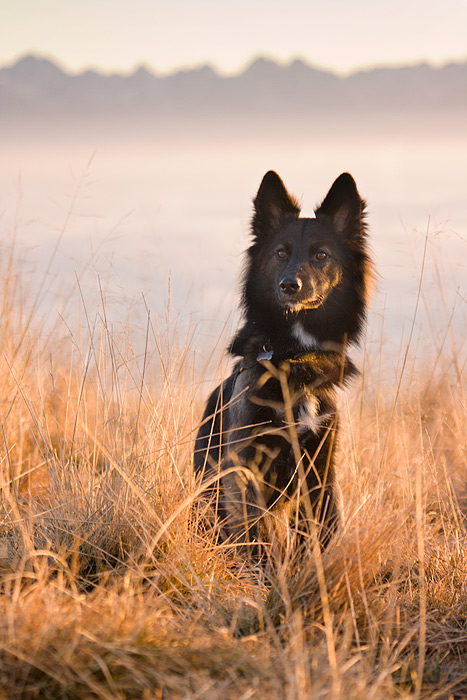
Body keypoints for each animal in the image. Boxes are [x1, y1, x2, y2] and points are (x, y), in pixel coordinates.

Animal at [194, 172, 372, 556]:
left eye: (321, 255)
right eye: (280, 253)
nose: (290, 285)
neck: (294, 358)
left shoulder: (320, 466)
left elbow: (315, 534)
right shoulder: (245, 463)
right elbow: (255, 535)